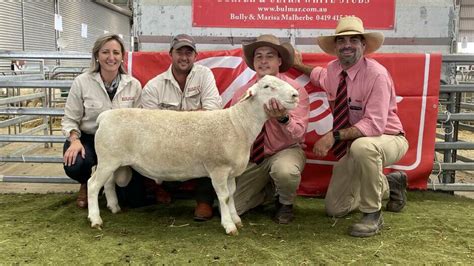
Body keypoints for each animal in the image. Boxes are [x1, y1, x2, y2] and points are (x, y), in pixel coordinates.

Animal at [87, 75, 298, 235]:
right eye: (267, 86)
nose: (296, 95)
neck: (238, 124)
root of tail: (104, 117)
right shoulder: (218, 168)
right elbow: (224, 197)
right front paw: (229, 226)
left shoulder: (230, 173)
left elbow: (231, 194)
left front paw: (236, 219)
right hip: (108, 159)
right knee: (92, 185)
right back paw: (95, 219)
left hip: (112, 161)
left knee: (107, 183)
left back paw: (114, 207)